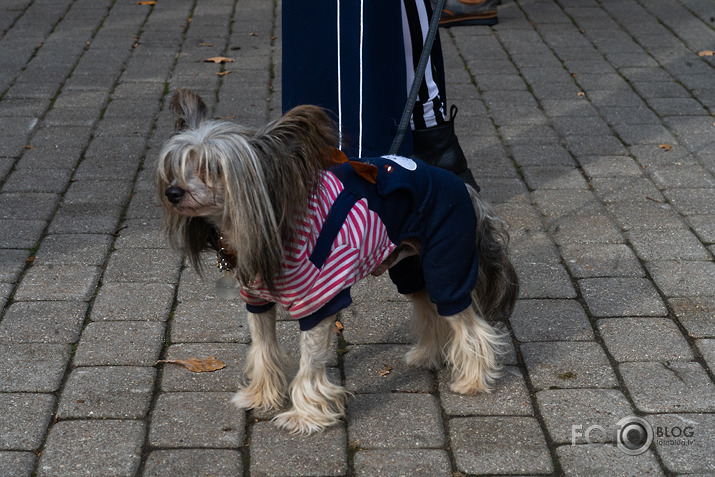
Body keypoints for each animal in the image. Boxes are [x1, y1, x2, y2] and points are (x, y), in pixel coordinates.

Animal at [157, 87, 520, 434]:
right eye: (177, 166)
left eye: (211, 168)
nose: (172, 193)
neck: (261, 223)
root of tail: (464, 187)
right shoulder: (257, 300)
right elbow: (262, 347)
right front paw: (262, 396)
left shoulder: (318, 302)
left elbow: (310, 361)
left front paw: (304, 415)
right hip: (411, 269)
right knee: (430, 309)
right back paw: (426, 355)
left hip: (447, 263)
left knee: (470, 325)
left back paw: (473, 379)